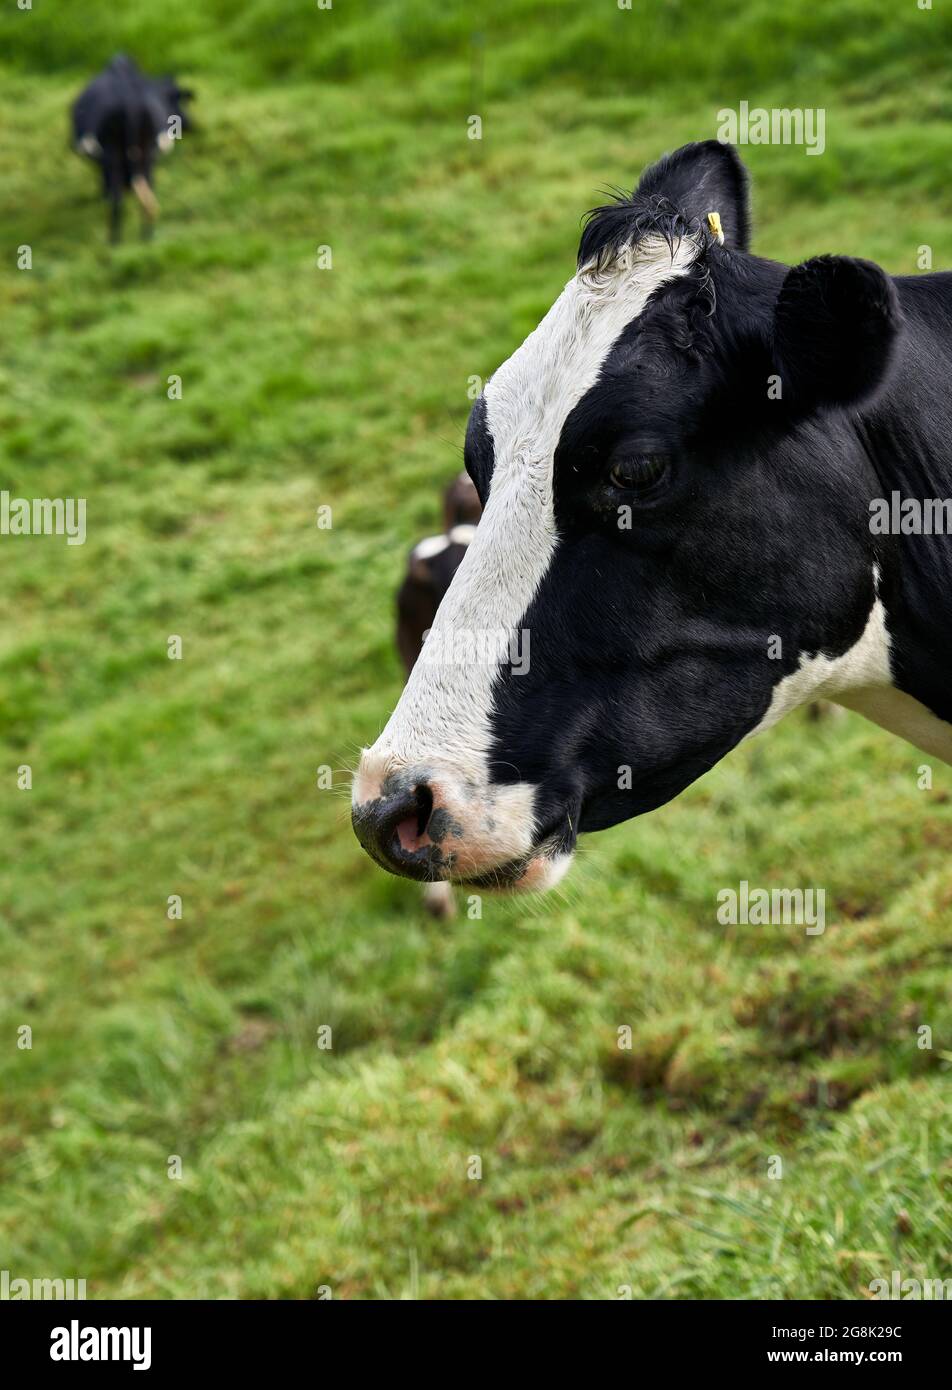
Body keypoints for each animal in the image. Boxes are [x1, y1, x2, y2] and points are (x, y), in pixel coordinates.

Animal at [72, 55, 194, 244]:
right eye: (180, 102)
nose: (191, 123)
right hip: (145, 156)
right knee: (146, 194)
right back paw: (146, 238)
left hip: (115, 154)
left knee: (118, 198)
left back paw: (116, 241)